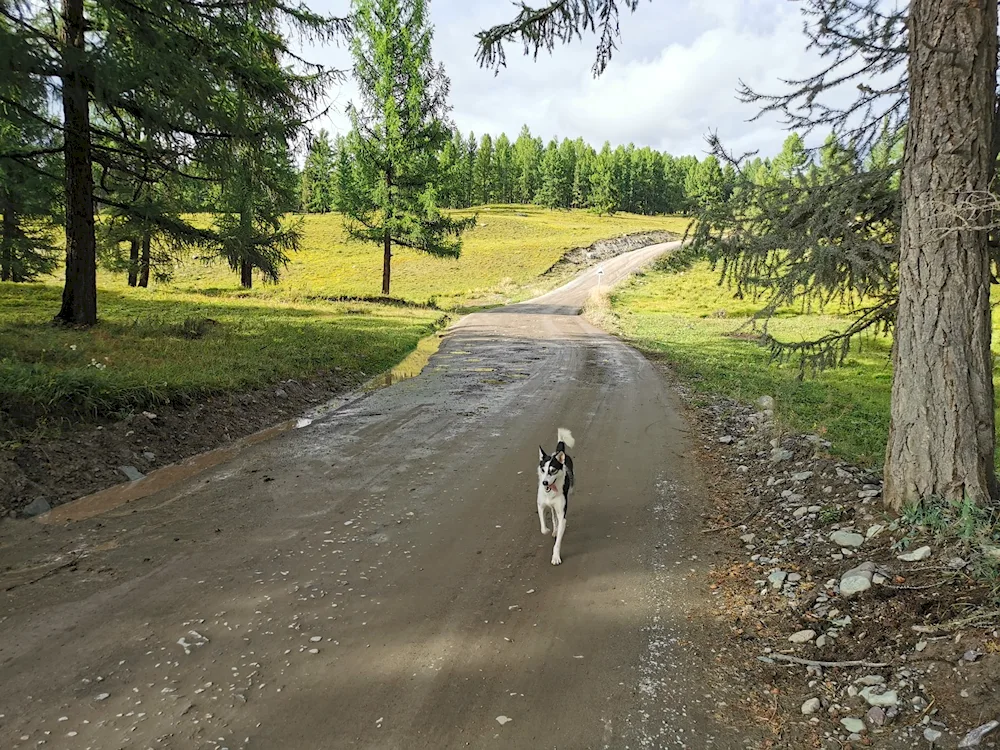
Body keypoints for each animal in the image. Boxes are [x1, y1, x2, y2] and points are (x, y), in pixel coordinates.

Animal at [536, 428, 576, 564]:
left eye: (553, 470)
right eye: (543, 469)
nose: (544, 483)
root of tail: (559, 452)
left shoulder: (562, 515)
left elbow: (558, 542)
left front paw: (556, 557)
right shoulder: (540, 505)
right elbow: (543, 528)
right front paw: (548, 530)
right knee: (553, 516)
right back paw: (553, 530)